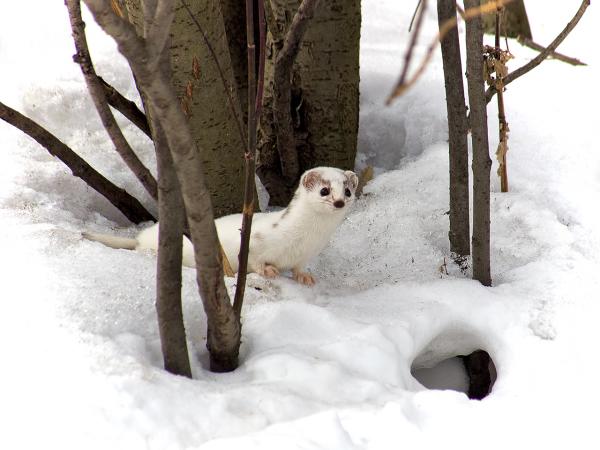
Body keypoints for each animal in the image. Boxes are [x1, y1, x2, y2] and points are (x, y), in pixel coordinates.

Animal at [83, 165, 356, 284]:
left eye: (348, 190)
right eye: (324, 190)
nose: (339, 202)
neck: (306, 239)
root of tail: (140, 238)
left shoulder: (306, 254)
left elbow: (300, 267)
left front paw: (305, 277)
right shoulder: (253, 241)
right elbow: (254, 260)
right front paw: (268, 270)